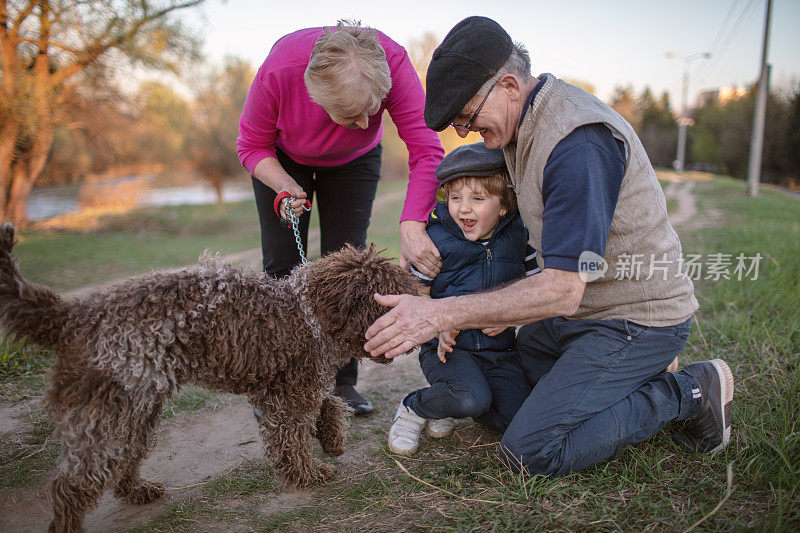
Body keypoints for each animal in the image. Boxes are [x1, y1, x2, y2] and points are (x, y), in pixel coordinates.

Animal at [0, 222, 422, 532]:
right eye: (386, 296)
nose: (413, 312)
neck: (311, 313)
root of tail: (74, 316)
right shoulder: (288, 393)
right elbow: (293, 436)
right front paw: (307, 473)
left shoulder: (290, 386)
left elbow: (329, 401)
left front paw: (332, 438)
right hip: (104, 415)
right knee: (72, 484)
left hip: (136, 410)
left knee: (124, 459)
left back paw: (138, 490)